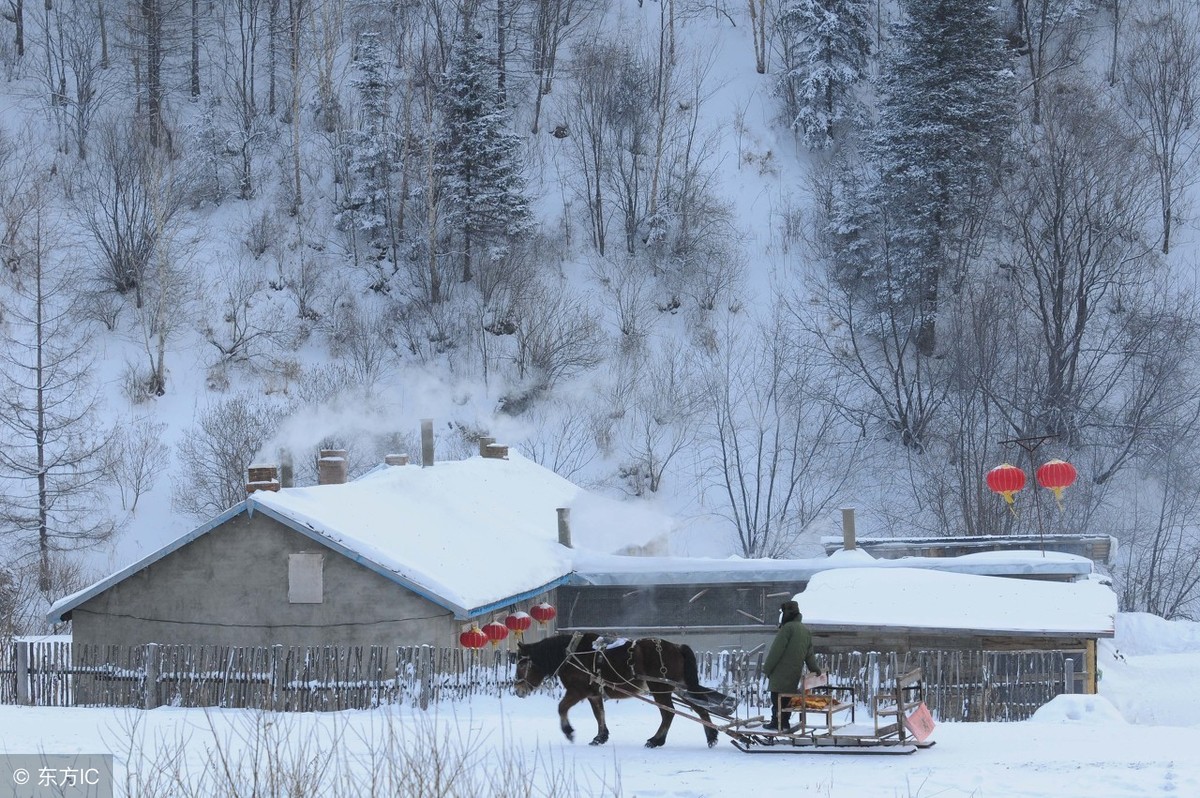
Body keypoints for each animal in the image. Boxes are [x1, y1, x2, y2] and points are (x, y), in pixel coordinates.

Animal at [511, 633, 715, 748]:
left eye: (521, 664)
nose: (518, 690)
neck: (571, 656)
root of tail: (677, 647)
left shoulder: (578, 691)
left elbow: (562, 708)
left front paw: (568, 731)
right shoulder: (594, 693)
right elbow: (599, 714)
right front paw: (600, 737)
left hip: (660, 688)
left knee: (668, 713)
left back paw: (656, 740)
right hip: (680, 687)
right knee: (700, 707)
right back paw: (711, 736)